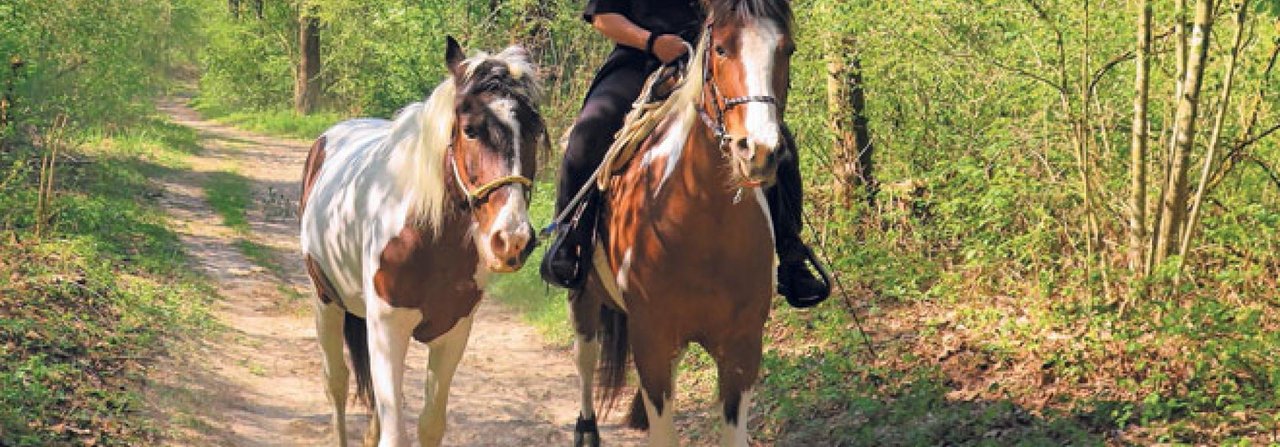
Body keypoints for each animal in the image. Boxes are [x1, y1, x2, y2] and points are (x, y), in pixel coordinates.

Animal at [302, 36, 547, 443]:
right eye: (470, 129)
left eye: (534, 130)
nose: (511, 240)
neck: (429, 240)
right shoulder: (388, 329)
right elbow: (394, 431)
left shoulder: (453, 334)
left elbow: (430, 425)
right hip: (326, 301)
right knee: (336, 382)